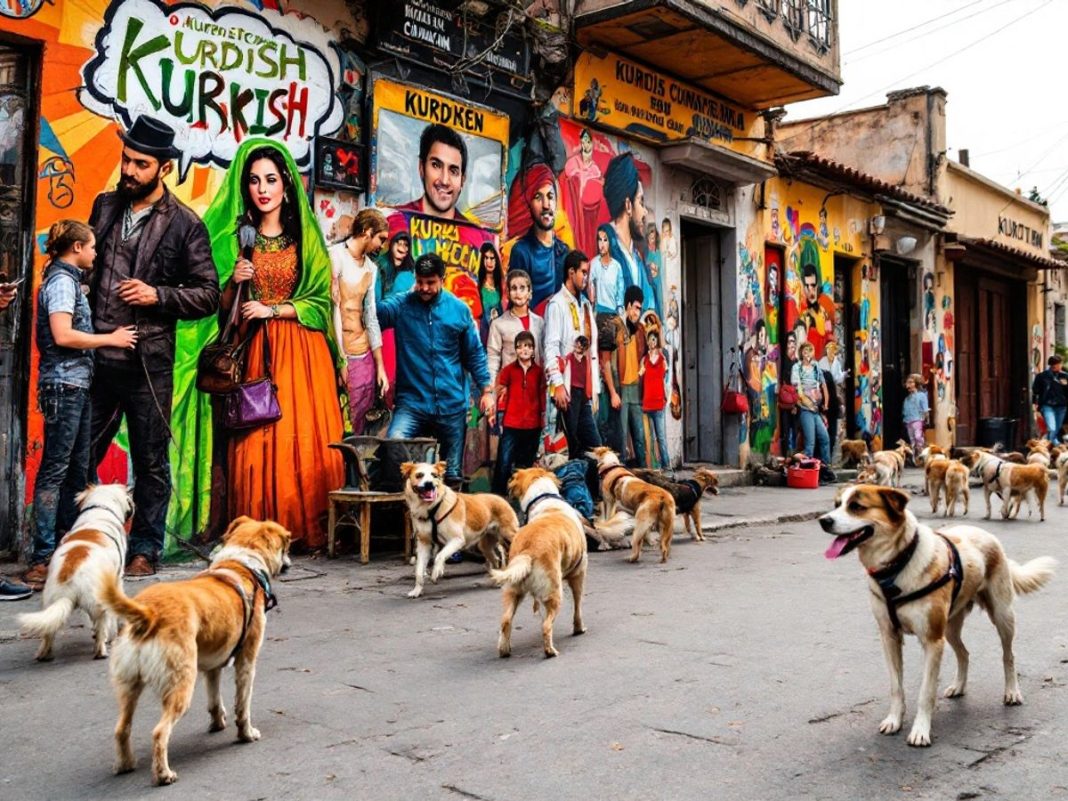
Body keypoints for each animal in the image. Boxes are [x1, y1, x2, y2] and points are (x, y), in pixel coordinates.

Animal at [17, 487, 133, 662]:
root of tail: (71, 579)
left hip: (51, 604)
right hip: (99, 602)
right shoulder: (117, 580)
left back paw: (44, 655)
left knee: (49, 632)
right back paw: (101, 651)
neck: (99, 510)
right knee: (100, 629)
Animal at [100, 516, 292, 786]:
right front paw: (246, 734)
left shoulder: (213, 667)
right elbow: (242, 705)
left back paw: (125, 764)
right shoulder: (246, 661)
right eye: (287, 547)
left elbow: (214, 700)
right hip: (181, 683)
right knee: (159, 732)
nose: (289, 564)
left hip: (128, 685)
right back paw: (163, 774)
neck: (243, 564)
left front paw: (218, 724)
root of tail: (148, 614)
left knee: (121, 729)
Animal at [401, 461, 516, 598]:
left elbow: (440, 555)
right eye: (419, 475)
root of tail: (501, 498)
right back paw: (497, 581)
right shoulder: (424, 543)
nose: (429, 484)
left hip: (509, 536)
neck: (431, 509)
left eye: (434, 475)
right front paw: (417, 591)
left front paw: (436, 572)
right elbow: (419, 570)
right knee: (496, 560)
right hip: (485, 546)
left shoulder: (457, 540)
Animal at [489, 467, 589, 662]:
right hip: (554, 593)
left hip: (513, 590)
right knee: (546, 626)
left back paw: (504, 649)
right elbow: (578, 607)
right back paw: (550, 651)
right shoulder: (579, 574)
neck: (545, 499)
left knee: (505, 620)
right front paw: (579, 628)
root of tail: (528, 551)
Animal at [820, 487, 1055, 751]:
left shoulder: (932, 641)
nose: (823, 520)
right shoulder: (889, 637)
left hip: (1002, 616)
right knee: (964, 653)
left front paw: (920, 731)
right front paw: (894, 720)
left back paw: (1012, 692)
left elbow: (926, 692)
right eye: (837, 504)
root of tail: (983, 532)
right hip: (950, 628)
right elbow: (896, 686)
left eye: (857, 506)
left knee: (1008, 655)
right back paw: (959, 686)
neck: (897, 565)